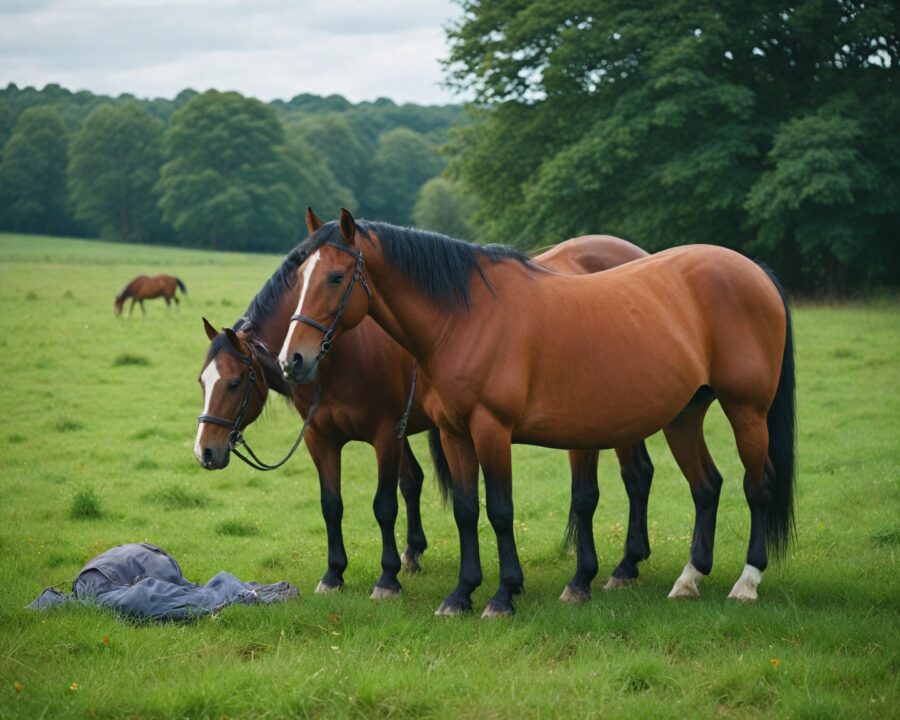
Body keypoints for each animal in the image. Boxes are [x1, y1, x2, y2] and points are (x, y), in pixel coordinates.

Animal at [195, 210, 659, 599]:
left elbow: (385, 504)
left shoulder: (387, 432)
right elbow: (336, 504)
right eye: (203, 381)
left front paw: (387, 578)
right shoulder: (322, 438)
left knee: (636, 477)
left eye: (234, 383)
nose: (205, 452)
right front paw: (337, 573)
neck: (344, 353)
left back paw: (625, 565)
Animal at [280, 210, 796, 618]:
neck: (466, 318)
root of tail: (754, 271)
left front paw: (502, 595)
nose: (293, 360)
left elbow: (500, 510)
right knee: (706, 486)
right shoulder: (454, 434)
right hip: (683, 417)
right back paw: (688, 580)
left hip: (746, 411)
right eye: (299, 278)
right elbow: (467, 511)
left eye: (335, 278)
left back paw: (746, 583)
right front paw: (461, 594)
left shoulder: (491, 430)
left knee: (757, 487)